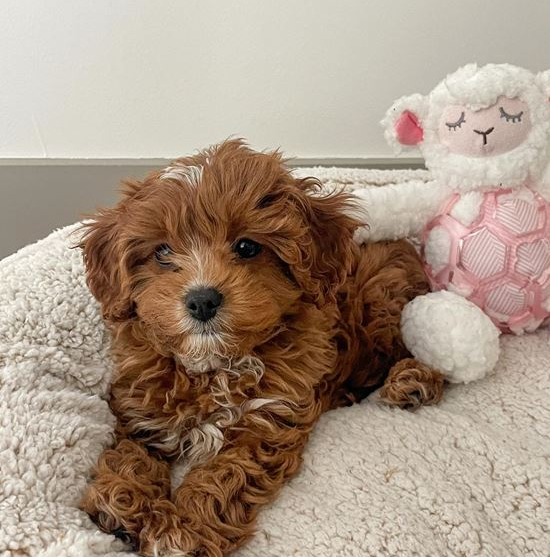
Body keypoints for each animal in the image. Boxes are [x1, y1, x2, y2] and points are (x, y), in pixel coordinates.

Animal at [80, 140, 446, 556]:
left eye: (246, 246)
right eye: (162, 252)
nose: (202, 300)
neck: (217, 366)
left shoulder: (267, 422)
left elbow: (224, 475)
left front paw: (184, 532)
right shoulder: (138, 409)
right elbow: (128, 454)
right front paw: (122, 505)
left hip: (379, 305)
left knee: (408, 345)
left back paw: (412, 381)